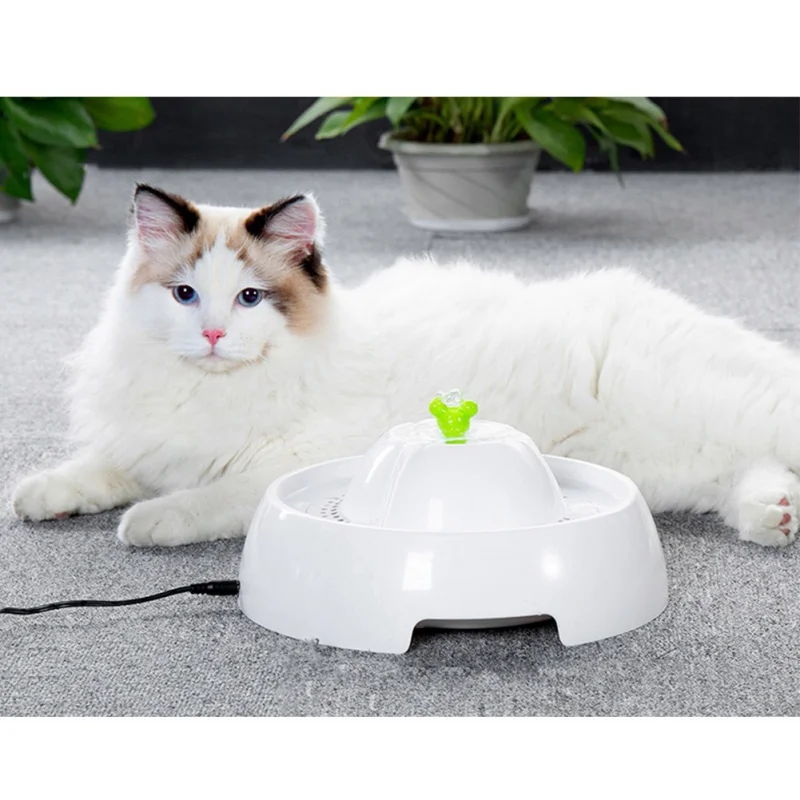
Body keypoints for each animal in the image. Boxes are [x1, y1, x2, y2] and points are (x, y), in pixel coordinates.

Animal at [11, 184, 800, 548]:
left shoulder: (274, 469)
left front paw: (145, 522)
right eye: (184, 294)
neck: (213, 388)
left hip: (732, 413)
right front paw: (40, 497)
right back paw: (777, 517)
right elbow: (97, 470)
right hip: (682, 467)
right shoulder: (147, 441)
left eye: (249, 298)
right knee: (753, 477)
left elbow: (199, 501)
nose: (210, 334)